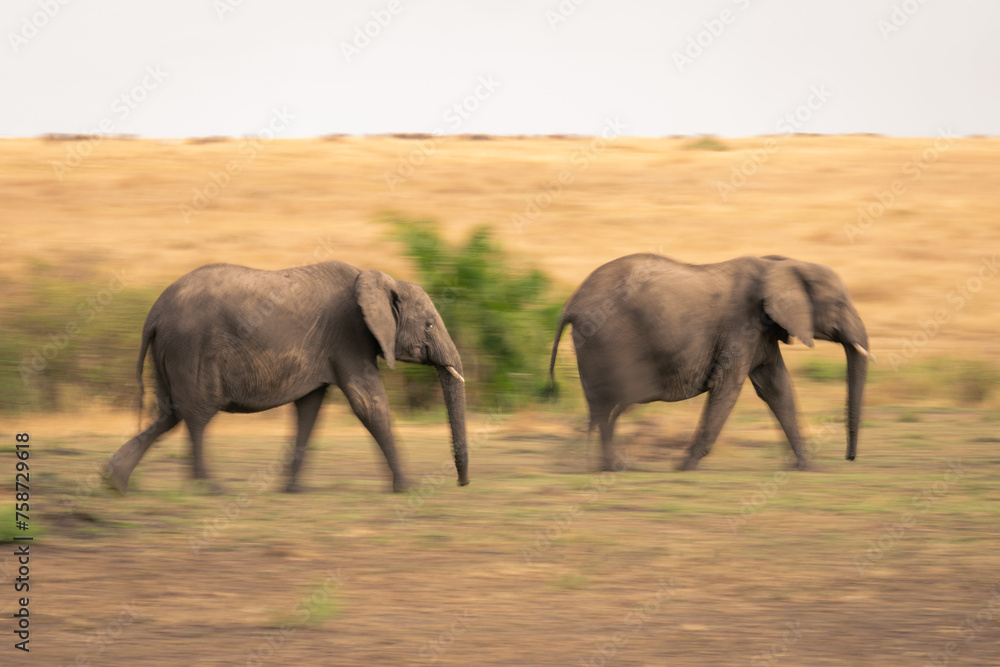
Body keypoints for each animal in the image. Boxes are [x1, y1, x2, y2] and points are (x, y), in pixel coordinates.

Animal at [107, 261, 469, 493]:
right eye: (429, 325)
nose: (462, 484)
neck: (378, 278)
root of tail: (154, 313)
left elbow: (309, 410)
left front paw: (293, 490)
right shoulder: (349, 336)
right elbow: (369, 405)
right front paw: (408, 488)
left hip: (169, 353)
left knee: (168, 414)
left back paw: (113, 481)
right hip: (189, 348)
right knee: (195, 415)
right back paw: (208, 488)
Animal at [548, 253, 872, 472]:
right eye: (840, 304)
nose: (850, 458)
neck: (782, 263)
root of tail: (570, 305)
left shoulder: (762, 333)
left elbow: (777, 388)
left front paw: (805, 465)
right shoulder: (742, 326)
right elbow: (727, 387)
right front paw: (685, 466)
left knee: (600, 407)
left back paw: (604, 464)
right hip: (605, 341)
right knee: (608, 405)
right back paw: (610, 465)